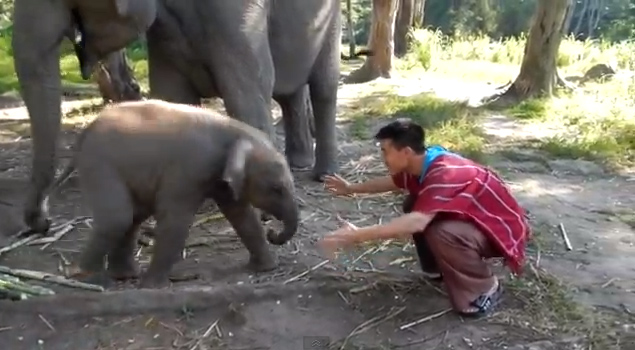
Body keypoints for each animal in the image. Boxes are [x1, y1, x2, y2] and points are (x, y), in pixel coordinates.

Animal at [12, 0, 340, 237]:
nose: (42, 224)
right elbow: (174, 96)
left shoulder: (238, 14)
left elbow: (246, 93)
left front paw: (260, 214)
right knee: (289, 91)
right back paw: (298, 163)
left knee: (323, 85)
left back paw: (324, 175)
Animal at [55, 98, 300, 288]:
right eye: (276, 189)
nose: (273, 233)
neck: (235, 131)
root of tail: (86, 130)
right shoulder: (189, 169)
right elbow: (176, 220)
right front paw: (151, 287)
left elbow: (241, 215)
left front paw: (265, 268)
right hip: (99, 163)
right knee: (118, 217)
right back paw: (82, 276)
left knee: (132, 216)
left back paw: (123, 275)